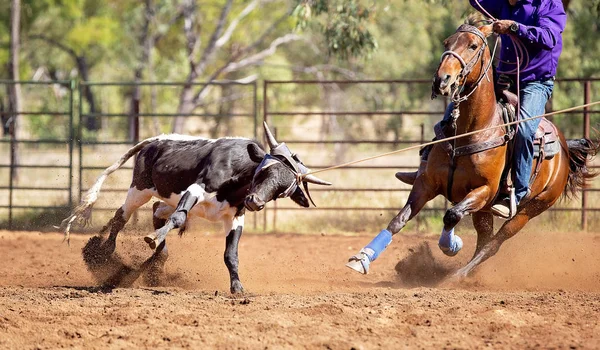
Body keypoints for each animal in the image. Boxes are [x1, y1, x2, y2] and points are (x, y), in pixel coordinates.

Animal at [62, 122, 330, 292]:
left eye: (283, 190)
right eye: (264, 171)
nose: (254, 202)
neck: (237, 174)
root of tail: (156, 140)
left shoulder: (235, 218)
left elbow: (231, 254)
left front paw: (237, 287)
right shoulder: (196, 189)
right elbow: (178, 219)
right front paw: (153, 238)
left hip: (166, 198)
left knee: (157, 210)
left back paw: (156, 261)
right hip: (139, 189)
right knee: (122, 216)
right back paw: (106, 250)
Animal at [346, 23, 596, 278]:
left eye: (473, 46)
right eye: (447, 43)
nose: (441, 80)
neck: (473, 130)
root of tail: (565, 147)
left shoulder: (484, 190)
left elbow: (451, 215)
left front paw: (451, 245)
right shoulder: (426, 183)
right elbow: (399, 219)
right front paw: (363, 258)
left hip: (530, 209)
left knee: (494, 243)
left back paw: (459, 275)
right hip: (484, 211)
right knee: (484, 238)